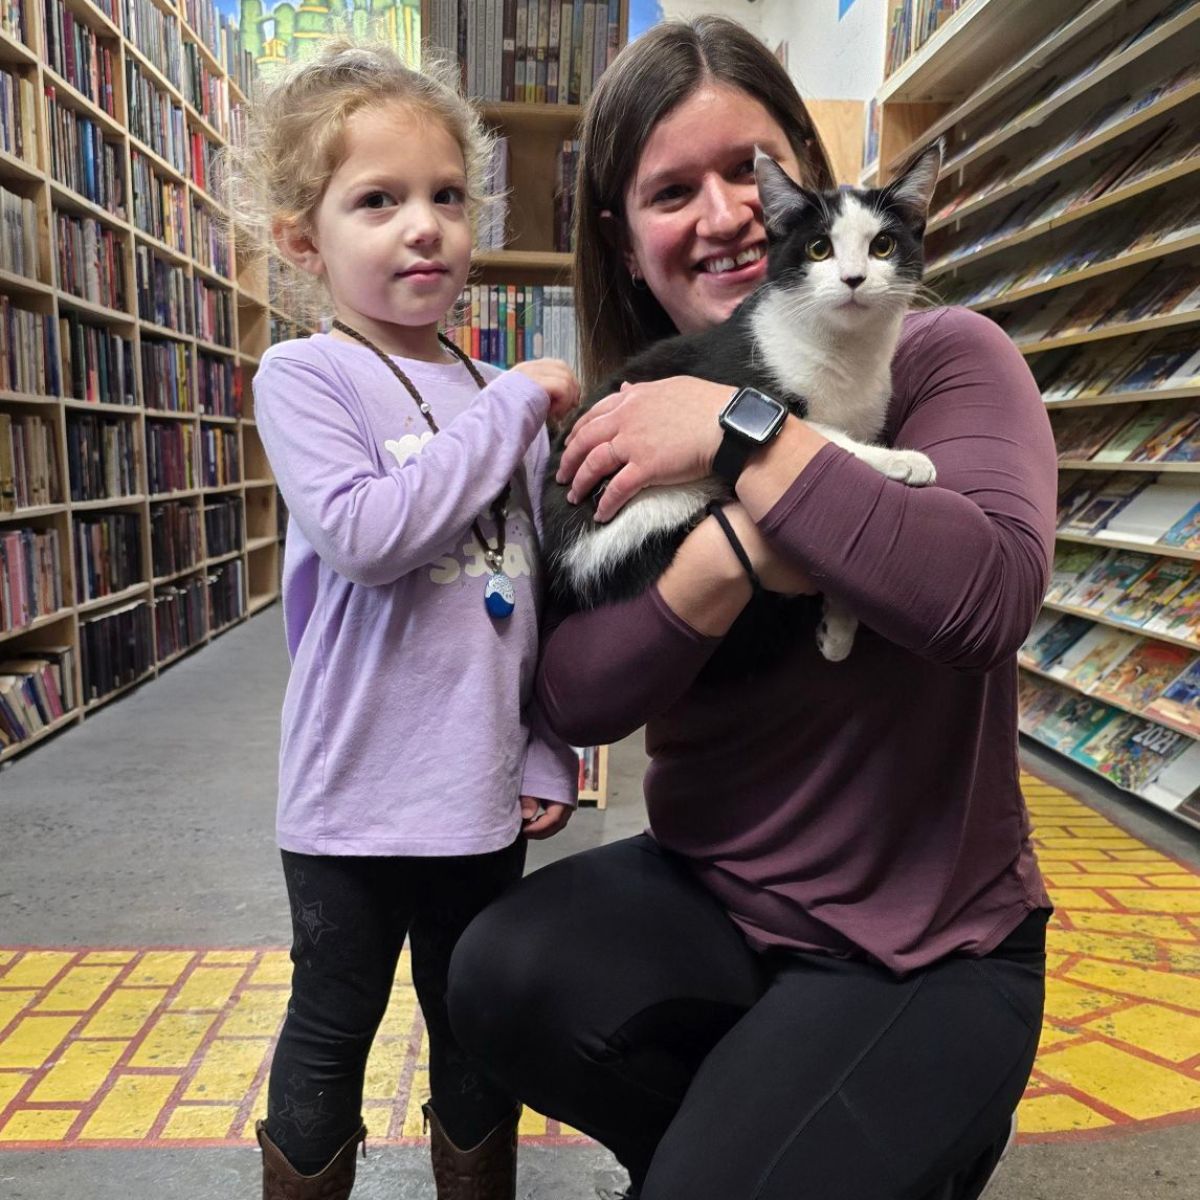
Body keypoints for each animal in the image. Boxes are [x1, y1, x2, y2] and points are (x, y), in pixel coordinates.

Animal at [544, 141, 945, 667]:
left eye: (883, 246)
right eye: (819, 248)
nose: (854, 278)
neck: (843, 351)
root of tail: (567, 562)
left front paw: (838, 628)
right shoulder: (740, 375)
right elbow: (822, 435)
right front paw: (902, 461)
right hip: (648, 500)